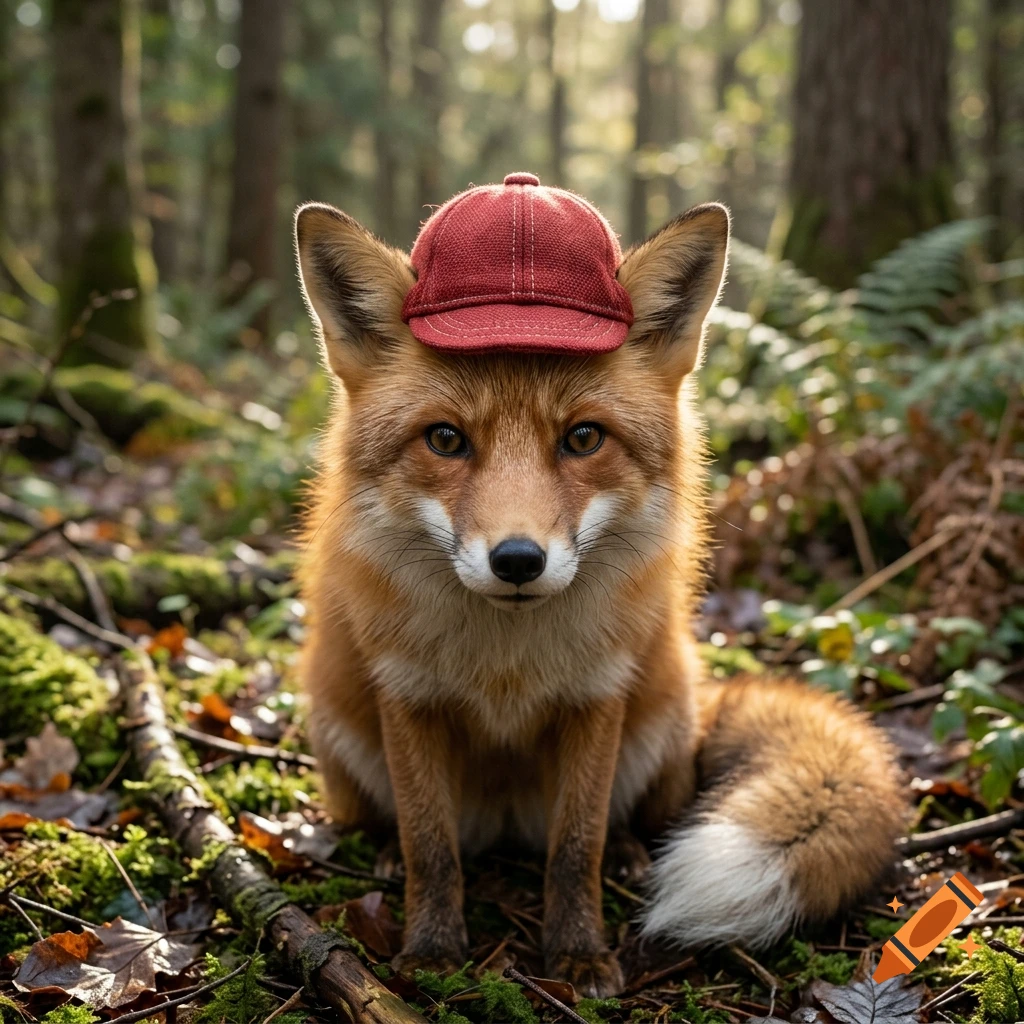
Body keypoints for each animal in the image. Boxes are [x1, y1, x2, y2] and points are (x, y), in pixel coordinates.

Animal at [293, 178, 906, 998]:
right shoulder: (409, 698)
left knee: (618, 821)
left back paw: (628, 853)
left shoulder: (596, 697)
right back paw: (386, 854)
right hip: (341, 732)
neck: (507, 667)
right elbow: (432, 846)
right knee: (402, 828)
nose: (518, 560)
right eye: (445, 439)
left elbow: (575, 848)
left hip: (659, 725)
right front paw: (431, 952)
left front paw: (579, 952)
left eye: (582, 437)